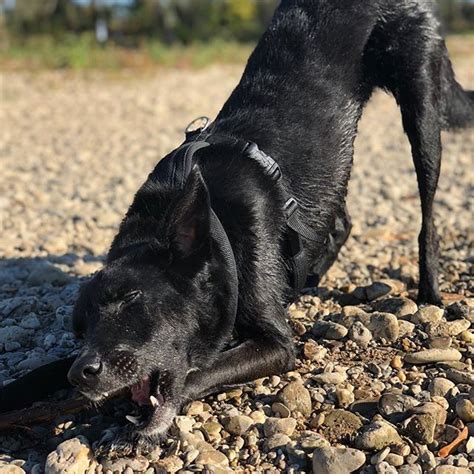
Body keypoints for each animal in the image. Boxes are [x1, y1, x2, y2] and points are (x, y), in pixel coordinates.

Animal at [1, 0, 472, 458]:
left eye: (131, 299)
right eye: (79, 328)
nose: (81, 374)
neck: (214, 227)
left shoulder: (277, 345)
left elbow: (198, 371)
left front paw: (136, 431)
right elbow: (35, 376)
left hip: (421, 106)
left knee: (426, 212)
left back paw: (429, 291)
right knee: (340, 221)